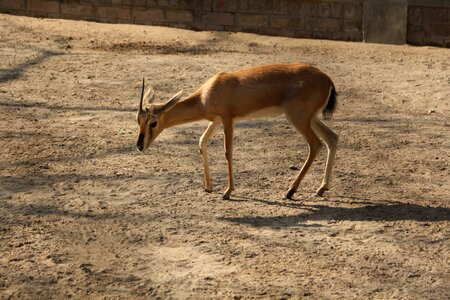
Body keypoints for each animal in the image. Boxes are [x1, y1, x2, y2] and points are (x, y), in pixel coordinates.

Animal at [136, 63, 338, 199]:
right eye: (138, 120)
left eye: (153, 123)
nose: (139, 146)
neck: (205, 95)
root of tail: (327, 79)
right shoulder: (216, 121)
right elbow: (202, 142)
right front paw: (208, 187)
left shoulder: (227, 119)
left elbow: (228, 152)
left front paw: (227, 192)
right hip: (310, 119)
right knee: (332, 138)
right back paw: (320, 189)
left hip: (298, 118)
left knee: (316, 144)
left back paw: (290, 192)